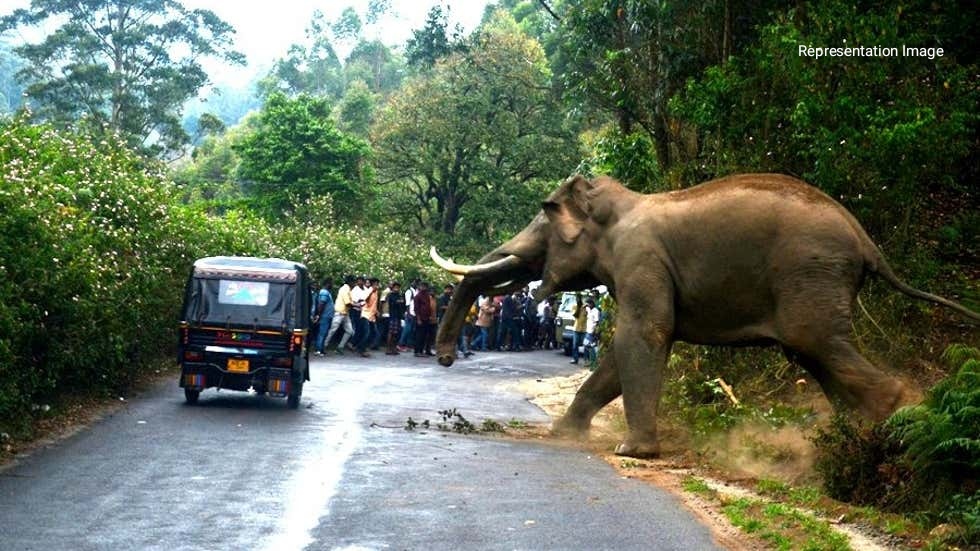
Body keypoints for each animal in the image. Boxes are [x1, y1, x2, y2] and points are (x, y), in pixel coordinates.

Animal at [430, 172, 980, 458]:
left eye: (542, 222)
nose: (445, 359)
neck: (622, 202)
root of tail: (866, 240)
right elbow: (621, 355)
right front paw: (565, 435)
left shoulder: (641, 260)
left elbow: (642, 336)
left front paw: (632, 452)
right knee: (816, 355)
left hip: (811, 275)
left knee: (819, 345)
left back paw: (888, 418)